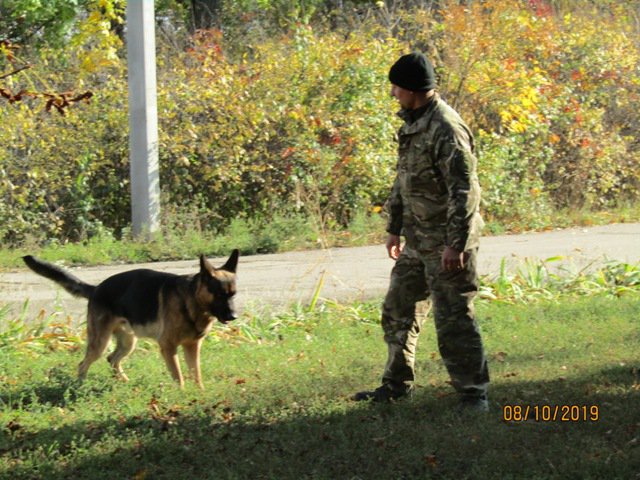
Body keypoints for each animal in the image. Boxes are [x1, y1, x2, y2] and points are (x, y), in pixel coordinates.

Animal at [21, 251, 240, 390]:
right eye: (219, 294)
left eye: (233, 294)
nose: (233, 316)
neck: (190, 299)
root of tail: (96, 288)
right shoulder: (168, 347)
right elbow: (179, 377)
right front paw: (183, 395)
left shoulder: (192, 347)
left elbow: (196, 374)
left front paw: (200, 393)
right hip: (100, 343)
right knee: (83, 365)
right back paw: (80, 387)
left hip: (128, 342)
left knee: (112, 359)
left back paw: (124, 382)